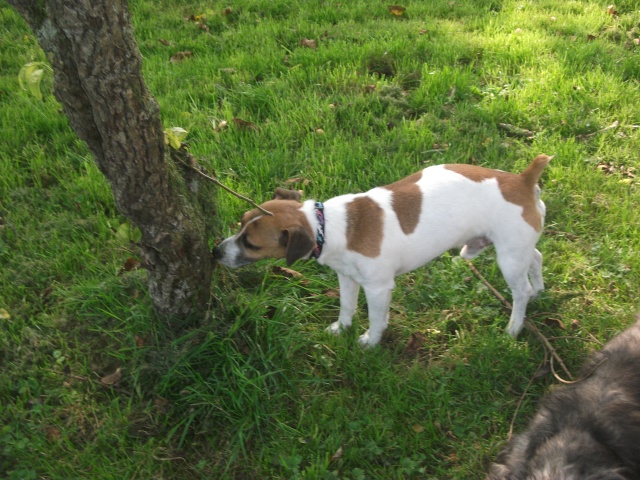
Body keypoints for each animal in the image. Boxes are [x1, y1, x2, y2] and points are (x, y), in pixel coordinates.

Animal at [214, 154, 552, 344]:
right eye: (241, 222)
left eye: (250, 243)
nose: (215, 252)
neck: (326, 225)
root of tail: (523, 181)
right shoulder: (347, 278)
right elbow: (347, 306)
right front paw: (342, 328)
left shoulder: (377, 288)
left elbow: (377, 319)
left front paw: (369, 340)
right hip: (518, 249)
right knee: (536, 257)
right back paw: (539, 289)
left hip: (508, 257)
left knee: (519, 291)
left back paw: (515, 326)